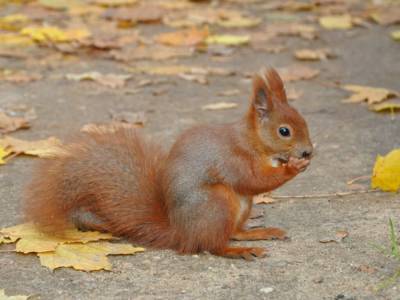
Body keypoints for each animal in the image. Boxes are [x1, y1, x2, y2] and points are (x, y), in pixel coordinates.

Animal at [24, 68, 312, 260]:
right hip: (216, 204)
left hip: (239, 207)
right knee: (214, 245)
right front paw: (293, 167)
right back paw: (240, 250)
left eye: (304, 121)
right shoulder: (233, 158)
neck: (252, 140)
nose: (308, 151)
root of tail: (182, 235)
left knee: (234, 232)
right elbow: (254, 179)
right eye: (284, 131)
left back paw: (258, 233)